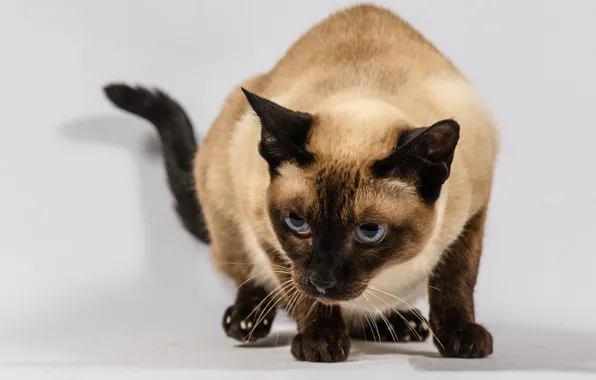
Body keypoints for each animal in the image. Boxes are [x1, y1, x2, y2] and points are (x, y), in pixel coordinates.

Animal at [102, 3, 498, 362]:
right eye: (297, 223)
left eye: (370, 232)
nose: (324, 280)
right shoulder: (266, 234)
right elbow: (302, 293)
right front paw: (320, 342)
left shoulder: (472, 214)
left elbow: (455, 280)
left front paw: (460, 336)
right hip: (222, 197)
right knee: (249, 278)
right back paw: (246, 321)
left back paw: (397, 325)